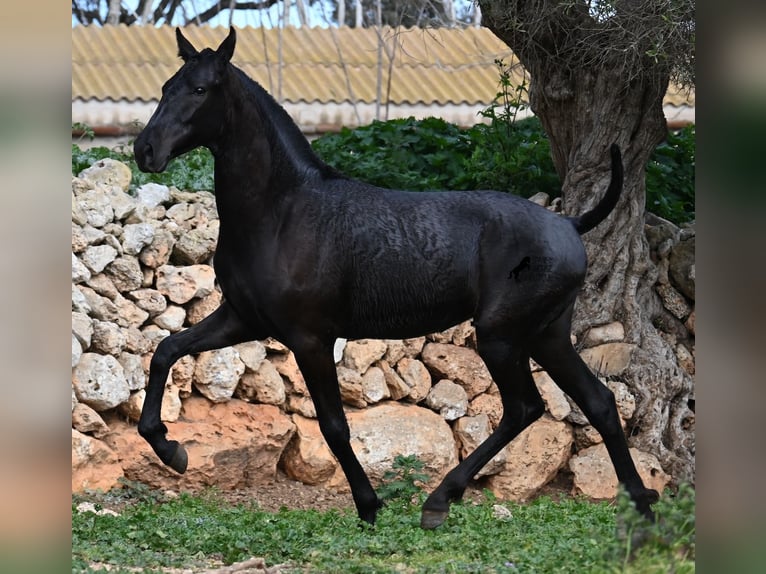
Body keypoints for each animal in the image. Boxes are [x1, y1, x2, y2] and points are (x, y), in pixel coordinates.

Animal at [134, 28, 660, 532]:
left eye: (200, 89)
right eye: (165, 87)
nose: (145, 149)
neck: (282, 211)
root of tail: (570, 224)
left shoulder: (309, 338)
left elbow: (334, 425)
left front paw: (369, 506)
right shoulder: (242, 319)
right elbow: (165, 351)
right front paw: (170, 449)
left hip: (502, 336)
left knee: (524, 407)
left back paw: (439, 501)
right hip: (545, 335)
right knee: (598, 402)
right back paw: (640, 508)